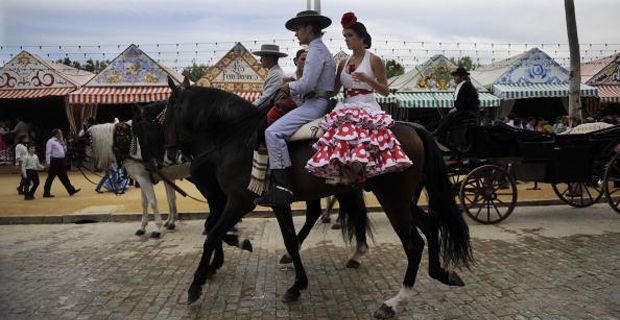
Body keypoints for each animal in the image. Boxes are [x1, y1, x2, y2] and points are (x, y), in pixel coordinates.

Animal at [162, 77, 472, 318]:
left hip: (393, 200)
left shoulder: (239, 201)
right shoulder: (278, 202)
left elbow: (212, 234)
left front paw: (196, 285)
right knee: (431, 226)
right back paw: (440, 273)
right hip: (404, 201)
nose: (168, 154)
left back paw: (395, 301)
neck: (239, 138)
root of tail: (413, 127)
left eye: (164, 113)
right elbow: (288, 238)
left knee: (414, 243)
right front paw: (296, 284)